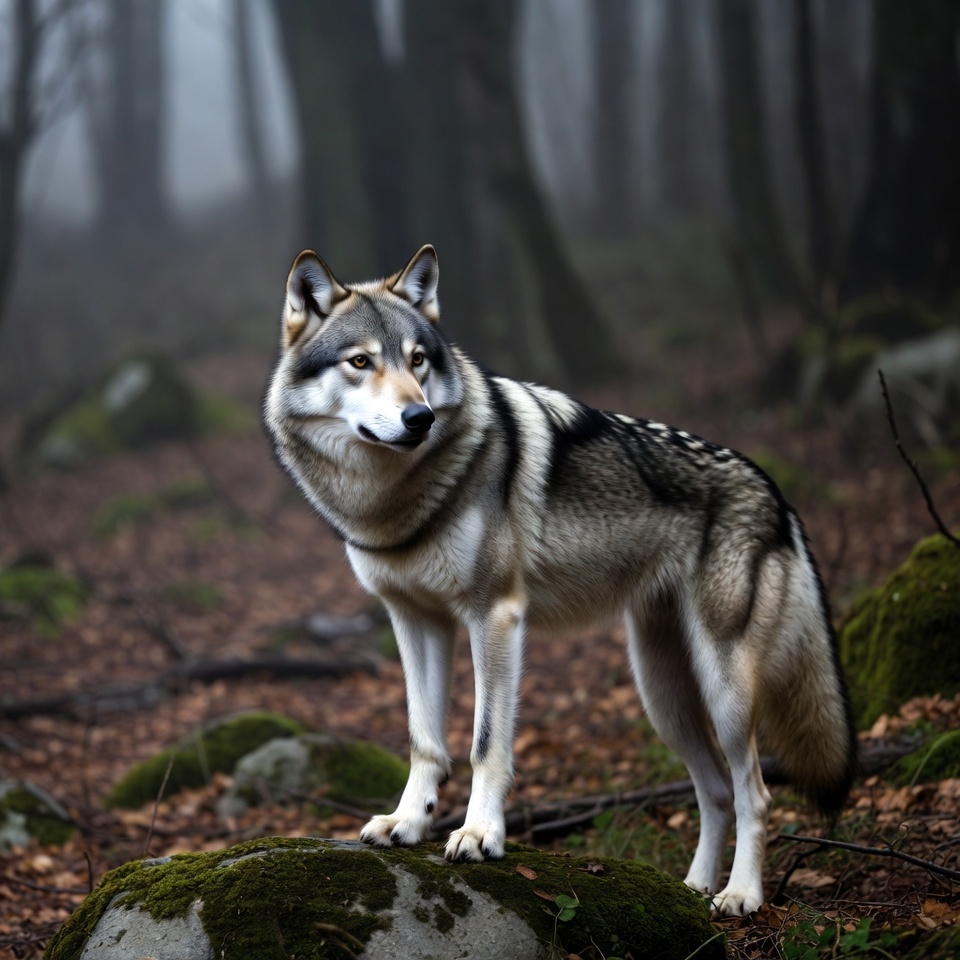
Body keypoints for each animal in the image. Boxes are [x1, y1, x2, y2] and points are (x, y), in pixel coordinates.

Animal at [263, 245, 857, 916]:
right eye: (360, 361)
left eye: (417, 360)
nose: (419, 416)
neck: (394, 500)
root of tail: (777, 492)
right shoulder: (414, 621)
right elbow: (425, 740)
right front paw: (408, 823)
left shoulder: (494, 616)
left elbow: (484, 744)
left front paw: (478, 834)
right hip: (662, 697)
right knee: (715, 792)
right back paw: (692, 888)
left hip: (723, 690)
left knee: (755, 791)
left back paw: (740, 895)